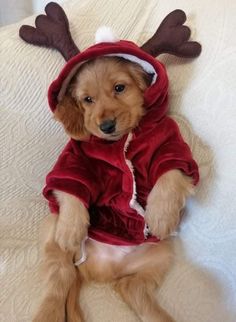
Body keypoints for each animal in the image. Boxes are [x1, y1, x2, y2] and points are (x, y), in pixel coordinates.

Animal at [33, 57, 195, 322]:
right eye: (87, 99)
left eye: (119, 88)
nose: (107, 126)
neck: (119, 142)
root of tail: (103, 270)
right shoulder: (72, 160)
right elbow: (69, 187)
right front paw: (72, 228)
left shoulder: (170, 145)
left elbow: (169, 172)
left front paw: (161, 215)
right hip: (52, 231)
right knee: (60, 281)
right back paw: (47, 314)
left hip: (160, 254)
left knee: (130, 287)